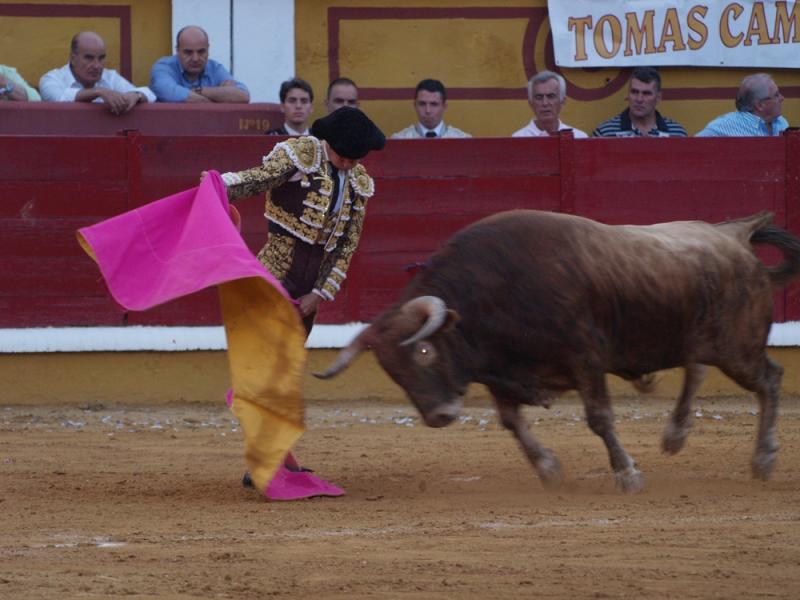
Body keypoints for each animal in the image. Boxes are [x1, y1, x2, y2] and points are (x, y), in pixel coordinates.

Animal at [314, 211, 800, 492]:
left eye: (424, 351)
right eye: (390, 369)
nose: (439, 416)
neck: (491, 293)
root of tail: (735, 236)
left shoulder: (585, 359)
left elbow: (599, 418)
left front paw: (627, 474)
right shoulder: (497, 369)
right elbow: (512, 422)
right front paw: (547, 467)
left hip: (737, 346)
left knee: (769, 379)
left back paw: (763, 458)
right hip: (695, 338)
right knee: (697, 369)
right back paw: (675, 435)